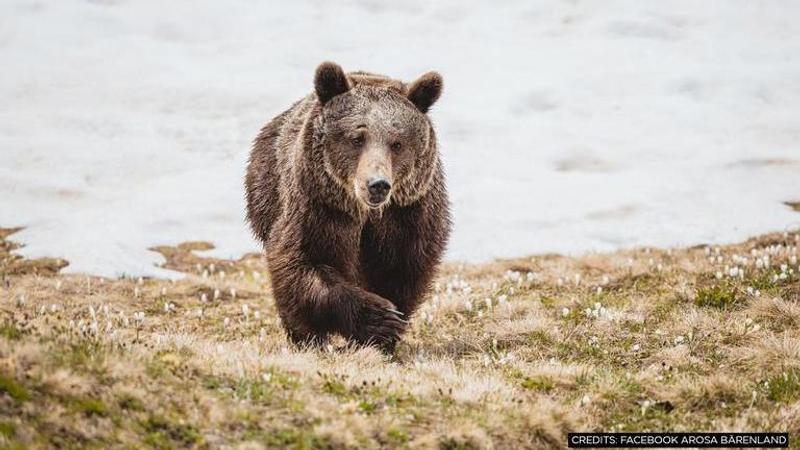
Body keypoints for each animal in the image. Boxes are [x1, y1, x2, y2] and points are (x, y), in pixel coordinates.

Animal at [247, 60, 450, 352]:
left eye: (397, 142)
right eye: (357, 138)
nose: (377, 185)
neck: (366, 214)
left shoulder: (408, 216)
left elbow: (400, 270)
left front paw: (386, 333)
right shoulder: (318, 209)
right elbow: (303, 264)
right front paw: (380, 319)